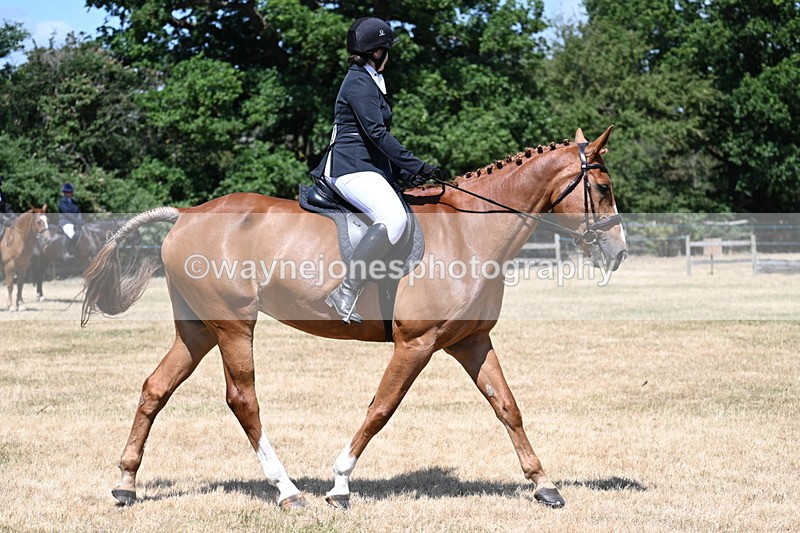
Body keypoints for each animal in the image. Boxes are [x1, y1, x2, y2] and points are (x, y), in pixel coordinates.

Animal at [81, 127, 628, 510]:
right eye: (602, 187)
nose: (619, 252)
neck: (468, 233)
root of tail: (187, 214)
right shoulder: (416, 343)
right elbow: (381, 409)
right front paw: (340, 484)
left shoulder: (470, 342)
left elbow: (507, 407)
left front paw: (545, 486)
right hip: (234, 325)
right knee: (243, 400)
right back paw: (288, 491)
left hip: (198, 328)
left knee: (155, 387)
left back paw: (126, 484)